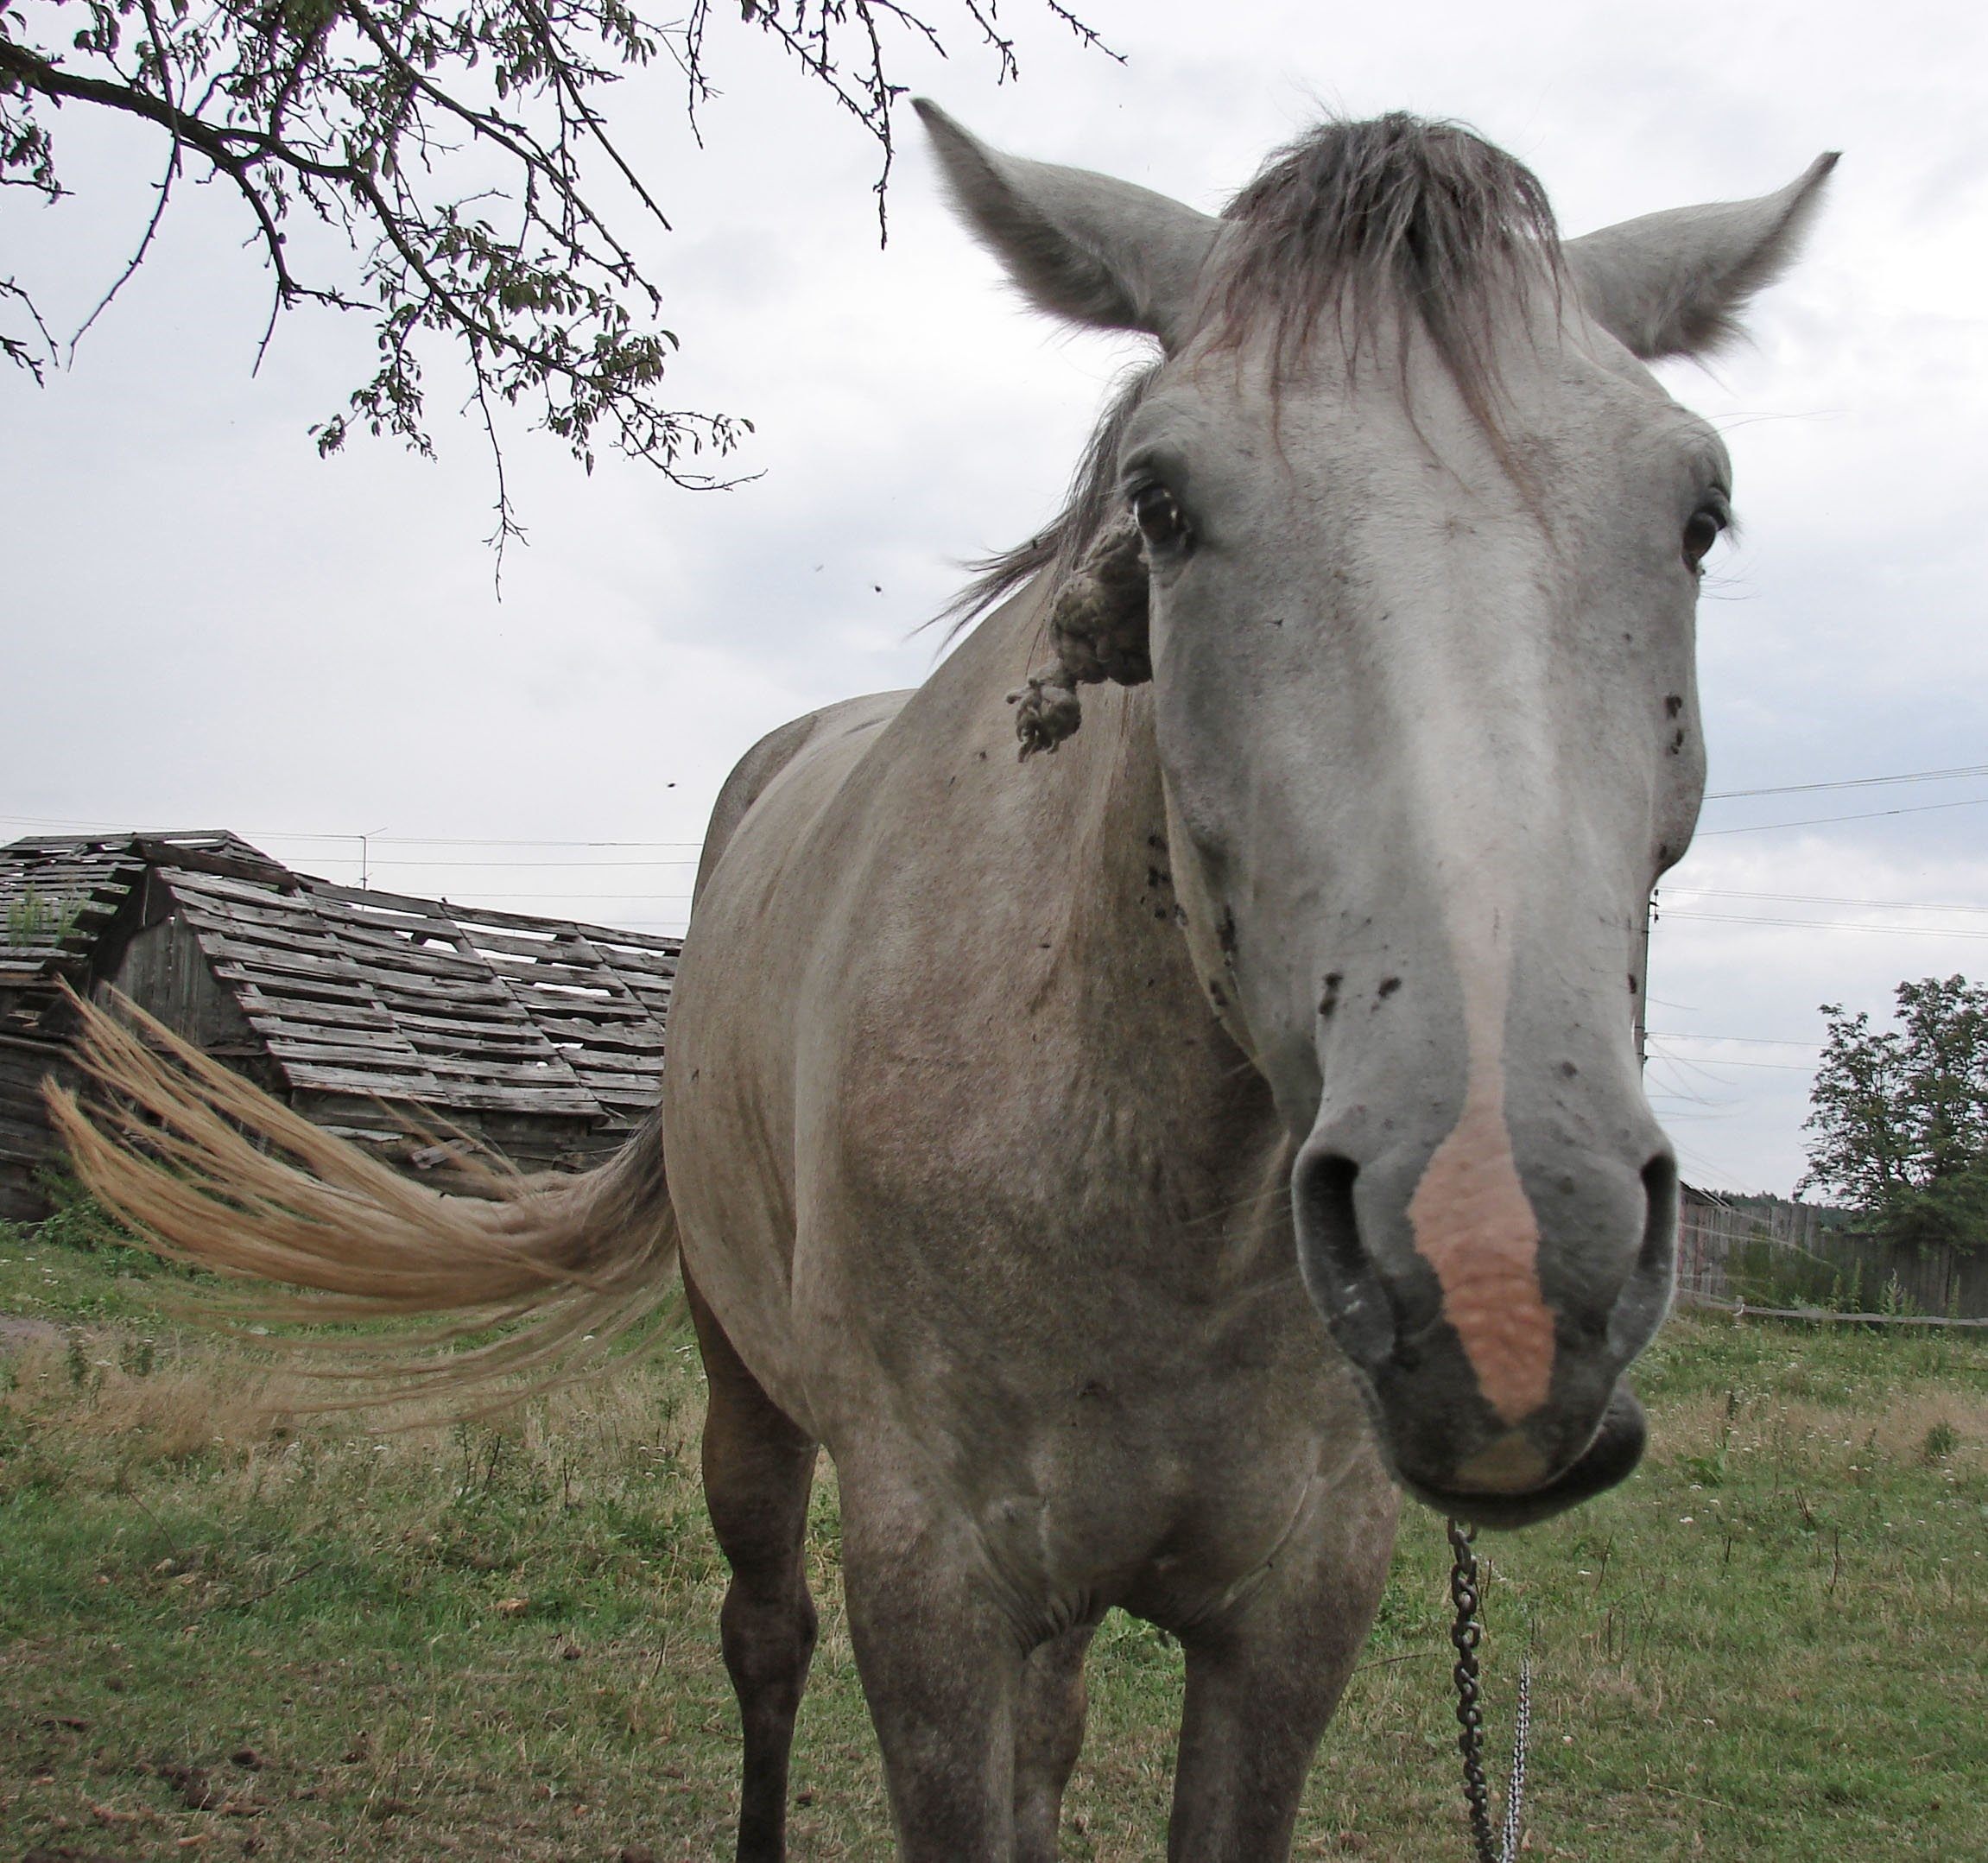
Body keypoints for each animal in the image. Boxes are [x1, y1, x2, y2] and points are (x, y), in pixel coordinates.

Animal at [61, 105, 1828, 1860]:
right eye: (1161, 504)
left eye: (1698, 516)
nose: (1498, 1258)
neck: (1143, 1182)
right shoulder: (932, 1588)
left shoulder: (1294, 1608)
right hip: (748, 1401)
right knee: (763, 1638)